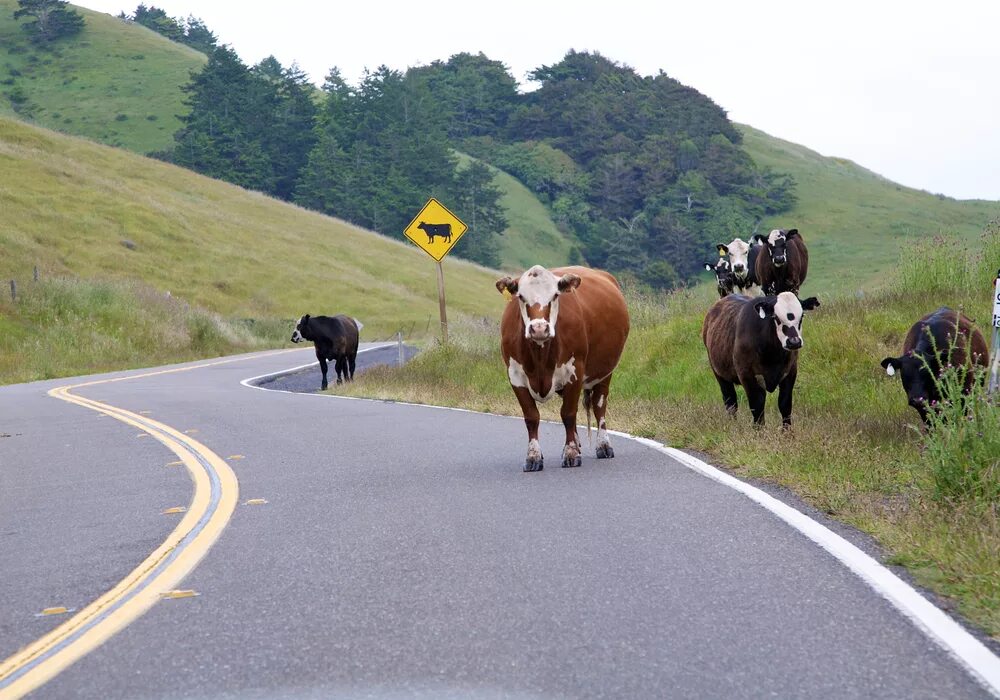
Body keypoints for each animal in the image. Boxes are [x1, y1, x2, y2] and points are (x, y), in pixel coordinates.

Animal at [496, 266, 628, 474]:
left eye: (555, 296)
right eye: (521, 297)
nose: (539, 328)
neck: (540, 356)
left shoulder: (575, 372)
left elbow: (568, 414)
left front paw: (571, 454)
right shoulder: (515, 376)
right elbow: (531, 417)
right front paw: (533, 456)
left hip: (605, 373)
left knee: (599, 406)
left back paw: (603, 445)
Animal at [704, 290, 820, 426]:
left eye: (801, 316)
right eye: (776, 318)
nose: (794, 342)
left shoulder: (790, 372)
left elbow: (785, 405)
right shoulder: (747, 376)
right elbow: (757, 407)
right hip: (719, 374)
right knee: (730, 402)